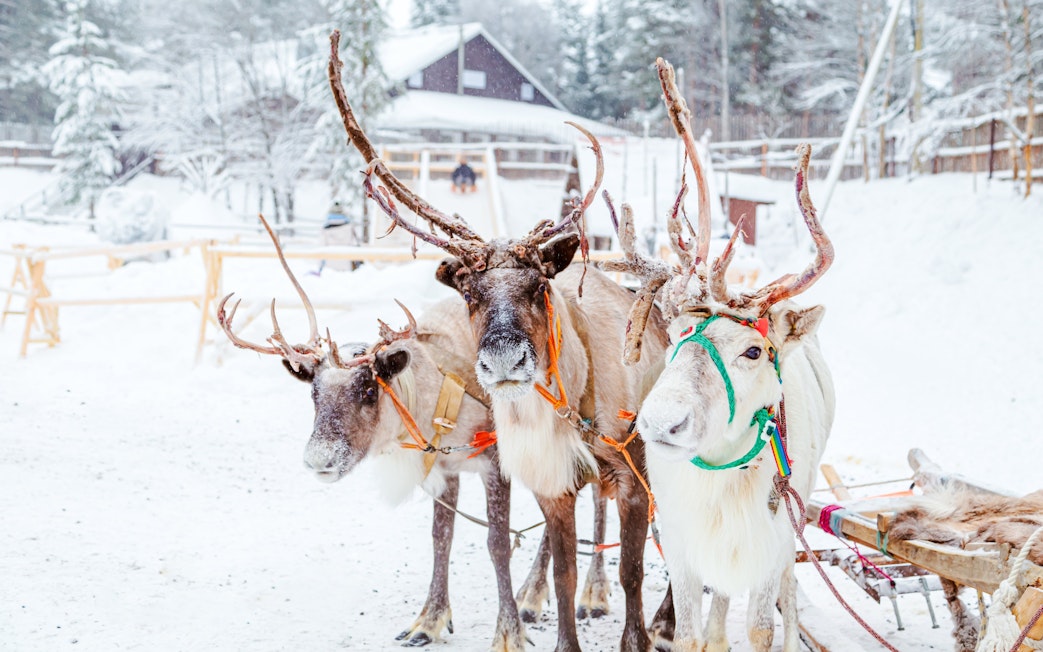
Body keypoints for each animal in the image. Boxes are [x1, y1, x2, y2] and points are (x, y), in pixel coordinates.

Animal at [217, 216, 616, 650]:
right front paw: (429, 620)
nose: (319, 458)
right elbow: (441, 538)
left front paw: (508, 632)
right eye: (313, 393)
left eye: (369, 389)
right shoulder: (444, 471)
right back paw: (534, 594)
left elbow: (497, 544)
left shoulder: (495, 464)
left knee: (596, 495)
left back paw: (589, 595)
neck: (431, 399)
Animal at [326, 30, 673, 652]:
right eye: (469, 292)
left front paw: (639, 633)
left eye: (539, 284)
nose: (505, 360)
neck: (575, 393)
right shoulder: (553, 481)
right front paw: (556, 622)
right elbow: (561, 569)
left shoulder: (635, 473)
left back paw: (664, 619)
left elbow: (635, 571)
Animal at [607, 59, 836, 652]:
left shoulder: (770, 545)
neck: (720, 477)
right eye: (675, 335)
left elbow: (760, 626)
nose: (661, 423)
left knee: (790, 594)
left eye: (754, 350)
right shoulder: (683, 547)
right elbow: (691, 632)